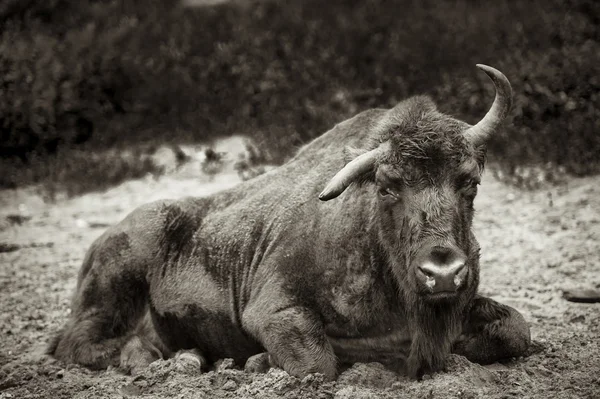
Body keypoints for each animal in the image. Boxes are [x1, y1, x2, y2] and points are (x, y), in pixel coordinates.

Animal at [49, 65, 532, 382]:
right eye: (388, 186)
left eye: (469, 181)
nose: (443, 272)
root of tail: (102, 240)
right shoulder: (272, 308)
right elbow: (319, 363)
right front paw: (259, 362)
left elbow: (516, 329)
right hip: (113, 286)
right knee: (80, 344)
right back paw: (170, 360)